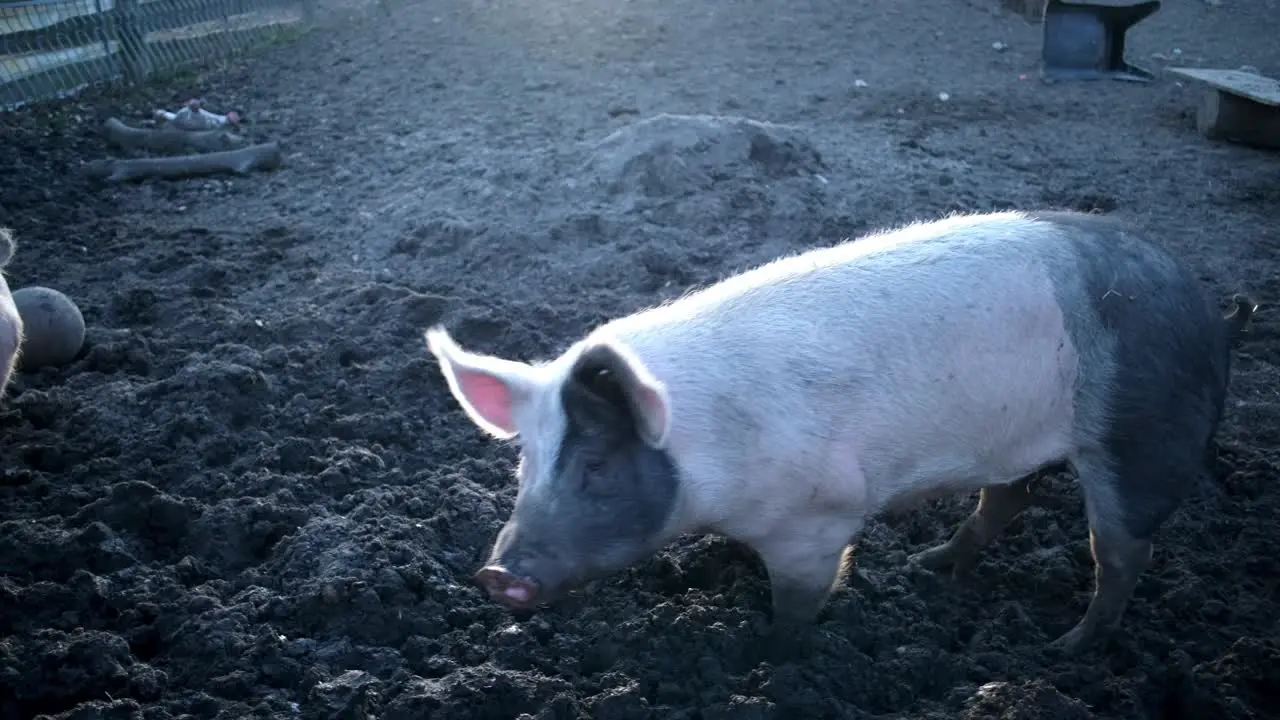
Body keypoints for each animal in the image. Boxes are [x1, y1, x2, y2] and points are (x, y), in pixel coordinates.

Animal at [424, 208, 1254, 655]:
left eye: (595, 467)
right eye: (524, 468)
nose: (494, 573)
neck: (705, 453)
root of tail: (1212, 313)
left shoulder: (816, 519)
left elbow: (799, 603)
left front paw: (764, 654)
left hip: (1139, 439)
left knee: (1122, 553)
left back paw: (1063, 648)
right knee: (1005, 500)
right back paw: (928, 566)